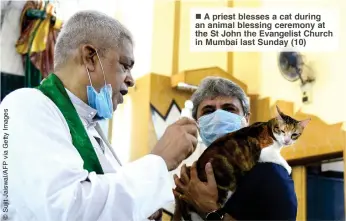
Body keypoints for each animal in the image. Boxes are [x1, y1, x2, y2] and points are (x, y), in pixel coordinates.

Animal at [173, 106, 310, 220]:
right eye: (282, 131)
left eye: (294, 134)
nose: (287, 141)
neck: (269, 129)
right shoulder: (263, 151)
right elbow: (278, 157)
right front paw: (288, 167)